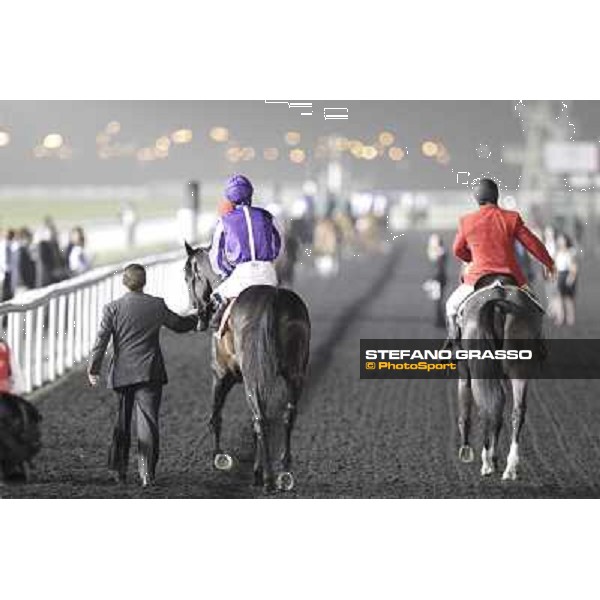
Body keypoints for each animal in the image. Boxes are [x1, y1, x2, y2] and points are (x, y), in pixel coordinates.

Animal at [184, 244, 312, 492]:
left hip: (253, 375)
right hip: (295, 374)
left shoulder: (221, 375)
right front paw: (255, 471)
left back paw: (269, 480)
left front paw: (220, 458)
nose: (197, 313)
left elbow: (216, 416)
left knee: (261, 418)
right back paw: (284, 473)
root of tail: (274, 300)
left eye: (187, 277)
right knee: (286, 416)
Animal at [458, 274, 548, 480]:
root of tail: (498, 301)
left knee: (485, 409)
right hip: (519, 368)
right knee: (517, 411)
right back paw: (510, 468)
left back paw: (486, 464)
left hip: (480, 371)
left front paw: (471, 452)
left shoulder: (466, 371)